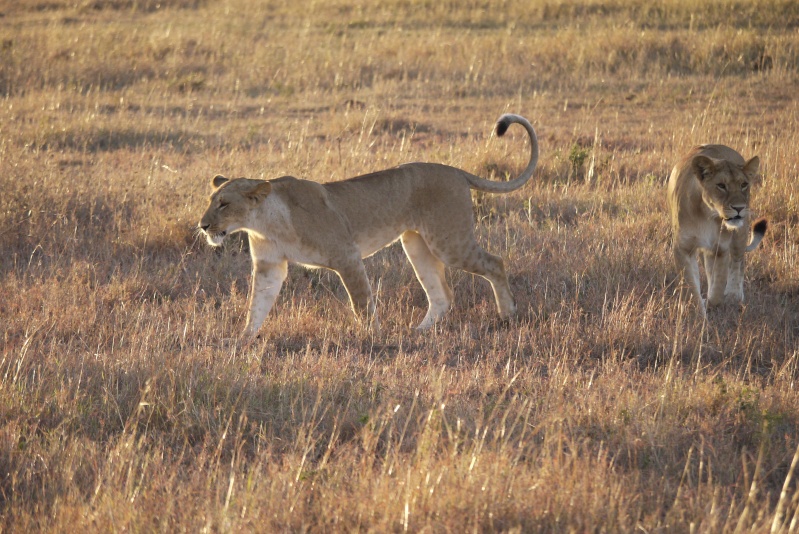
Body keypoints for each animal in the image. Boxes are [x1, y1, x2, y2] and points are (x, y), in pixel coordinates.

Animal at [197, 114, 540, 340]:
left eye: (224, 203)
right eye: (211, 200)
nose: (202, 225)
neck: (264, 223)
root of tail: (456, 170)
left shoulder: (347, 256)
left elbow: (361, 303)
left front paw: (371, 340)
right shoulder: (269, 265)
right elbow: (257, 305)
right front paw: (242, 341)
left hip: (450, 242)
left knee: (495, 263)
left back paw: (508, 315)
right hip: (416, 243)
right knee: (442, 295)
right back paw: (418, 332)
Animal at [668, 144, 768, 316]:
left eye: (743, 184)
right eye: (721, 185)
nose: (739, 208)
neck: (707, 214)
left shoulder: (721, 248)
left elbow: (718, 286)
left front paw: (713, 303)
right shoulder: (683, 248)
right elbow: (690, 286)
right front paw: (698, 314)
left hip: (739, 235)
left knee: (738, 262)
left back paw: (735, 295)